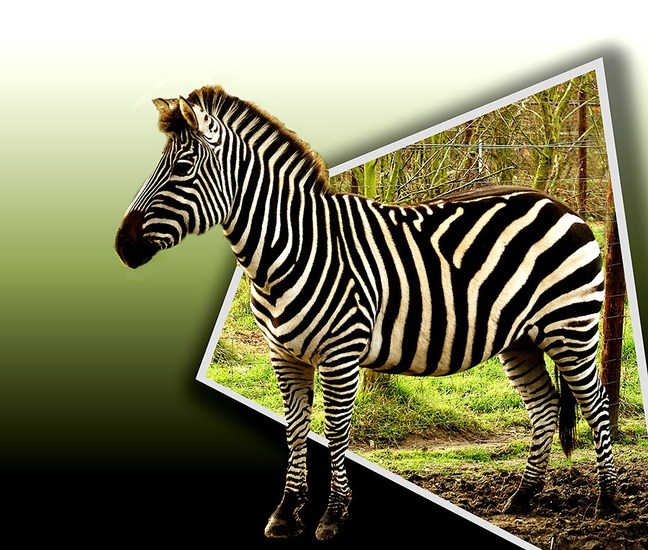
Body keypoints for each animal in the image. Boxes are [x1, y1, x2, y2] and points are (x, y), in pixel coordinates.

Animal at [115, 85, 619, 541]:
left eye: (182, 169)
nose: (122, 247)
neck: (289, 250)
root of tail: (559, 203)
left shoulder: (341, 353)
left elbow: (336, 432)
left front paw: (333, 517)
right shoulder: (283, 355)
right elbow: (295, 431)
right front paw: (286, 515)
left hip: (571, 328)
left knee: (595, 404)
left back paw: (607, 502)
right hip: (522, 339)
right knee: (546, 406)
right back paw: (523, 496)